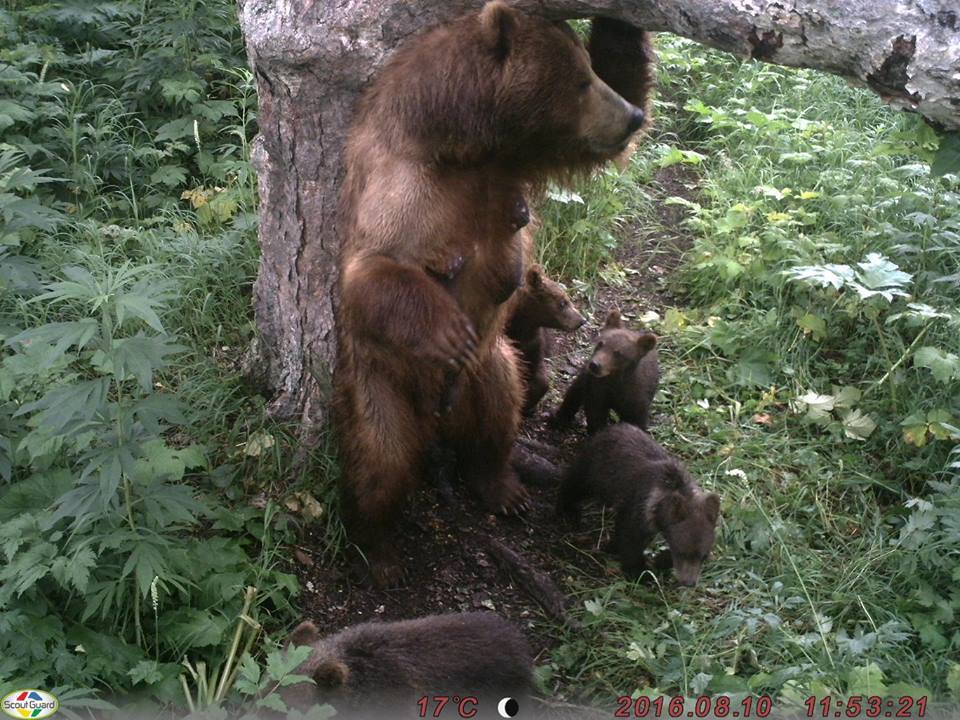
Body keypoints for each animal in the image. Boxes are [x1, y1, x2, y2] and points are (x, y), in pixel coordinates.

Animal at [334, 1, 656, 584]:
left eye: (589, 69)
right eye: (579, 81)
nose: (631, 118)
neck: (461, 144)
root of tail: (437, 416)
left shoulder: (521, 159)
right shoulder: (401, 183)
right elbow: (372, 267)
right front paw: (446, 330)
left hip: (491, 370)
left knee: (497, 419)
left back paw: (503, 488)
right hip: (378, 380)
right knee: (379, 457)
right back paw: (381, 549)